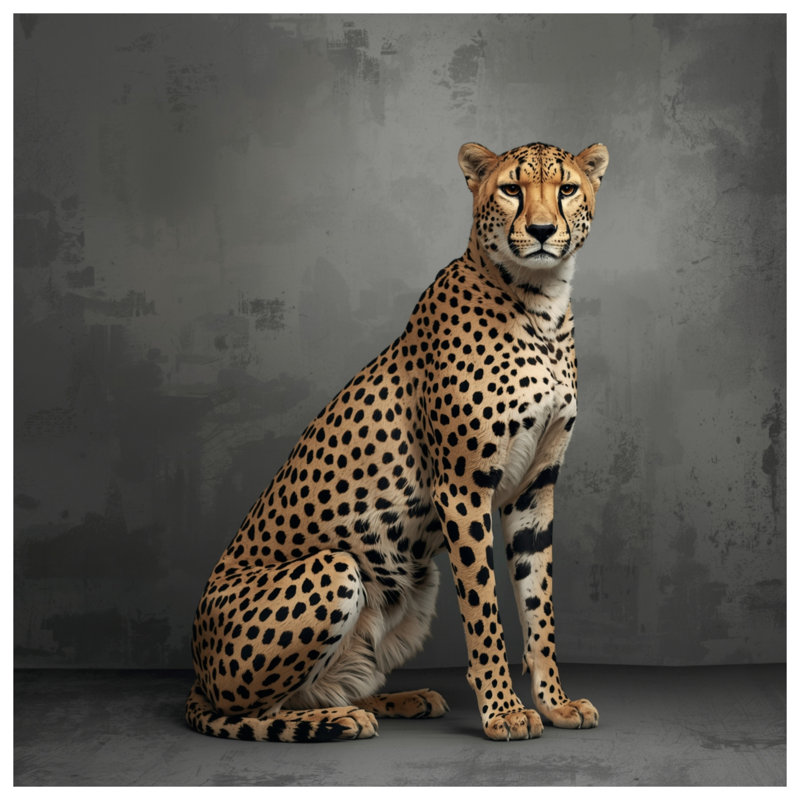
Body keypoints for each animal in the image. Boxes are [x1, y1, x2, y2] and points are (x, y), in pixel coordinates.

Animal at [185, 139, 609, 742]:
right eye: (512, 189)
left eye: (567, 188)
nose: (544, 229)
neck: (541, 301)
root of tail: (197, 672)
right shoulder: (462, 489)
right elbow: (484, 609)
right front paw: (502, 711)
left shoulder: (535, 490)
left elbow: (539, 606)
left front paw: (554, 703)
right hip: (337, 568)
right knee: (252, 711)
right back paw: (342, 719)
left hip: (414, 585)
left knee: (319, 687)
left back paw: (403, 699)